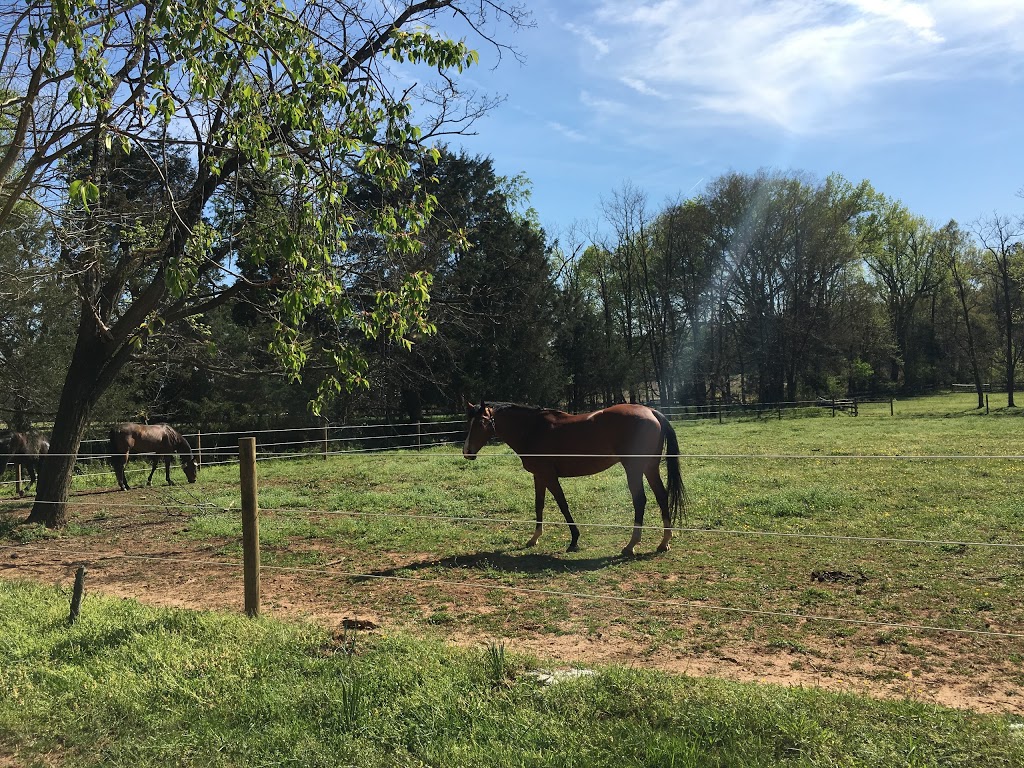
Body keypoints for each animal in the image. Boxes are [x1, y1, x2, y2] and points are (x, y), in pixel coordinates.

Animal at [468, 399, 684, 557]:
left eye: (481, 422)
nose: (467, 452)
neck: (533, 430)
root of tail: (651, 412)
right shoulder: (539, 476)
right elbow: (539, 505)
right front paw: (534, 538)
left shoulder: (549, 476)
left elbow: (563, 505)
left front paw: (574, 540)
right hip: (650, 467)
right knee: (662, 496)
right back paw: (664, 541)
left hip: (634, 468)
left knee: (640, 501)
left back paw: (631, 545)